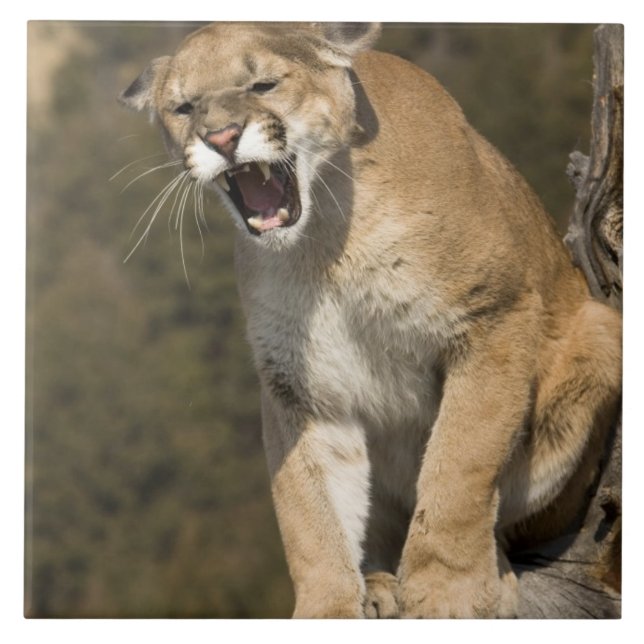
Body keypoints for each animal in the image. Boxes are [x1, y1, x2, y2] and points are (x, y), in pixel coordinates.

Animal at [120, 22, 622, 618]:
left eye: (263, 84)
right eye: (183, 106)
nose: (220, 137)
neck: (325, 240)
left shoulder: (493, 315)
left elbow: (460, 462)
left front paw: (447, 592)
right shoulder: (298, 384)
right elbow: (306, 507)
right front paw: (327, 607)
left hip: (598, 334)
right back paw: (379, 584)